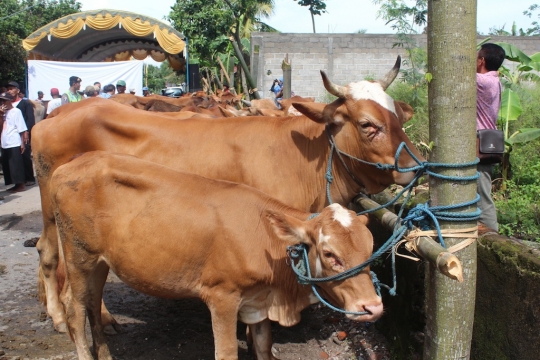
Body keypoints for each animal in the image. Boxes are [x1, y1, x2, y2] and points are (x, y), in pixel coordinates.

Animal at [31, 57, 424, 332]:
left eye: (400, 117)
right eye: (368, 124)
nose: (414, 165)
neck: (300, 158)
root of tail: (53, 117)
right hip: (53, 214)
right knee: (52, 256)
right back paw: (62, 316)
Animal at [49, 151, 380, 360]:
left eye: (370, 250)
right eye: (329, 253)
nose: (373, 307)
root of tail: (69, 165)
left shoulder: (258, 301)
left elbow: (263, 347)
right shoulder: (222, 296)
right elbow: (226, 352)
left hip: (100, 262)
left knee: (93, 303)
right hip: (79, 257)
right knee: (74, 308)